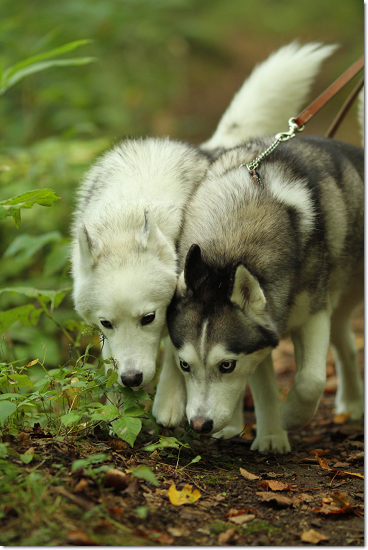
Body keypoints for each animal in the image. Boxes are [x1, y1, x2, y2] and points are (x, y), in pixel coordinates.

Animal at [69, 45, 336, 394]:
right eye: (106, 323)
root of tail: (212, 149)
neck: (127, 212)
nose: (131, 379)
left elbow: (172, 373)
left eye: (148, 318)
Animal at [156, 115, 366, 452]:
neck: (231, 244)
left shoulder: (313, 314)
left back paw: (353, 404)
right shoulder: (263, 334)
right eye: (185, 365)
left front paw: (289, 417)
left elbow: (311, 380)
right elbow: (264, 386)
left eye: (226, 365)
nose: (200, 425)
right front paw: (271, 436)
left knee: (344, 342)